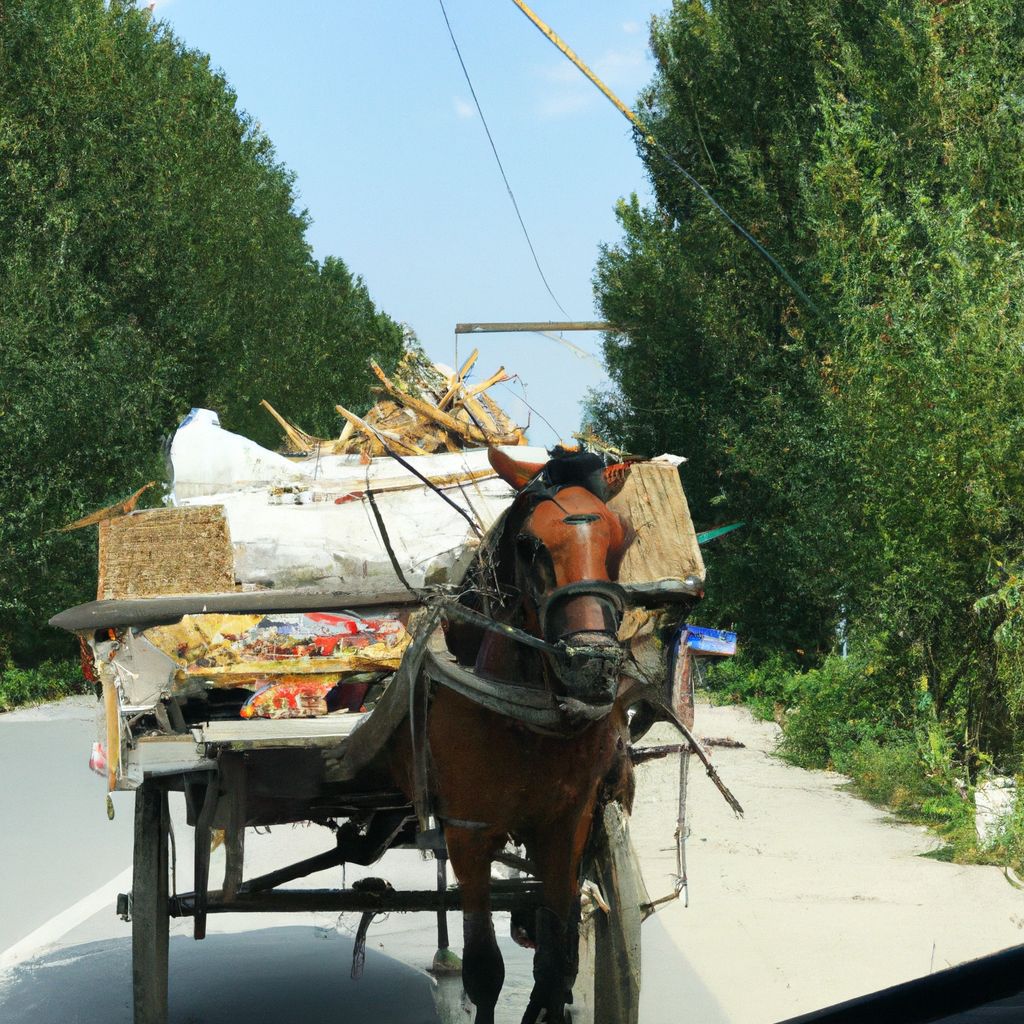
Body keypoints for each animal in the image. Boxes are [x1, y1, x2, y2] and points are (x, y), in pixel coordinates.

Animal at [387, 448, 634, 1024]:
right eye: (529, 544)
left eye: (621, 537)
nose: (593, 666)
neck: (528, 723)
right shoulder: (469, 833)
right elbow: (484, 969)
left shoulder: (566, 827)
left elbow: (556, 961)